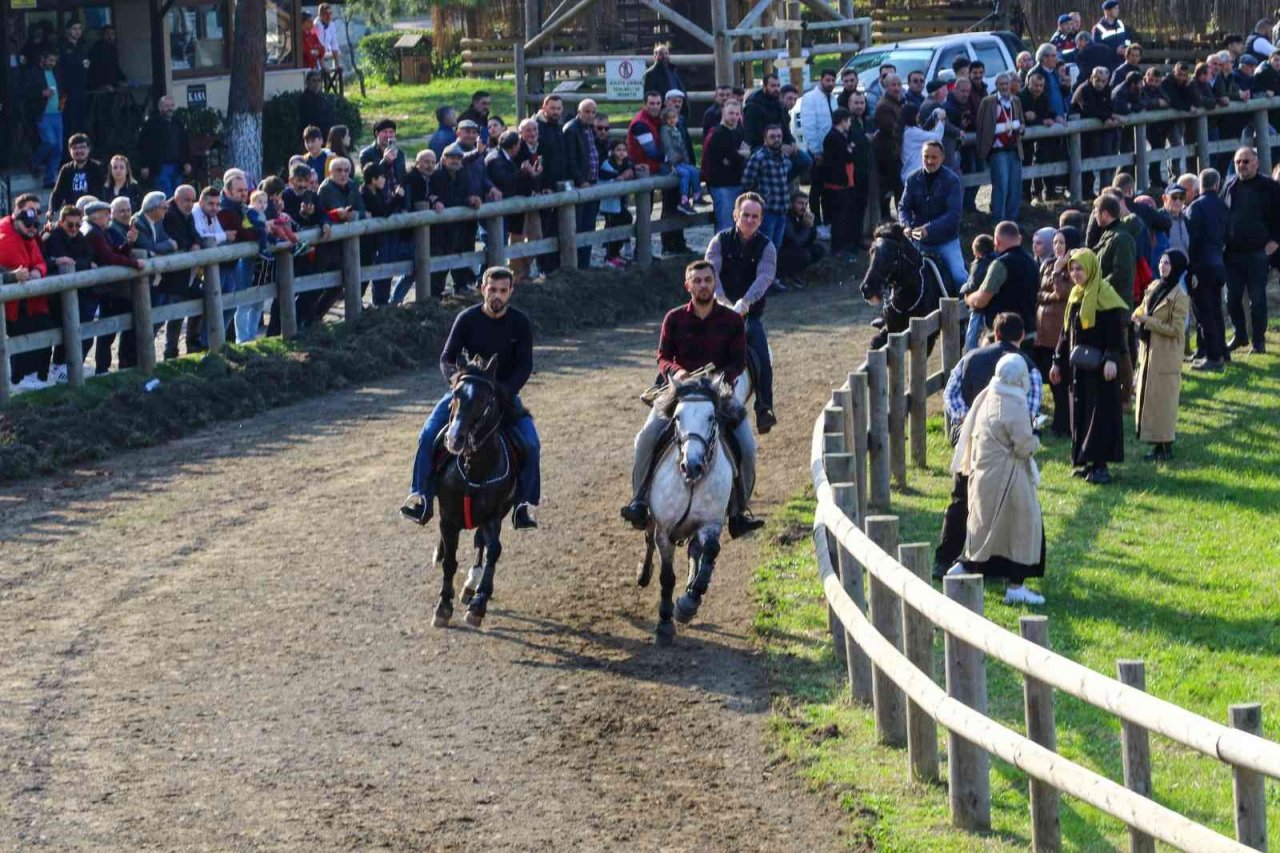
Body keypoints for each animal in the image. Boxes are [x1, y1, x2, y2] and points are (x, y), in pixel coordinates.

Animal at [430, 350, 519, 625]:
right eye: (456, 394)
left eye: (484, 399)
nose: (454, 439)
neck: (473, 468)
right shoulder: (448, 518)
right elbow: (450, 560)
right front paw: (443, 606)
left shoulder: (493, 515)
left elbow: (492, 550)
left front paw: (478, 602)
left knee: (481, 542)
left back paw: (471, 587)